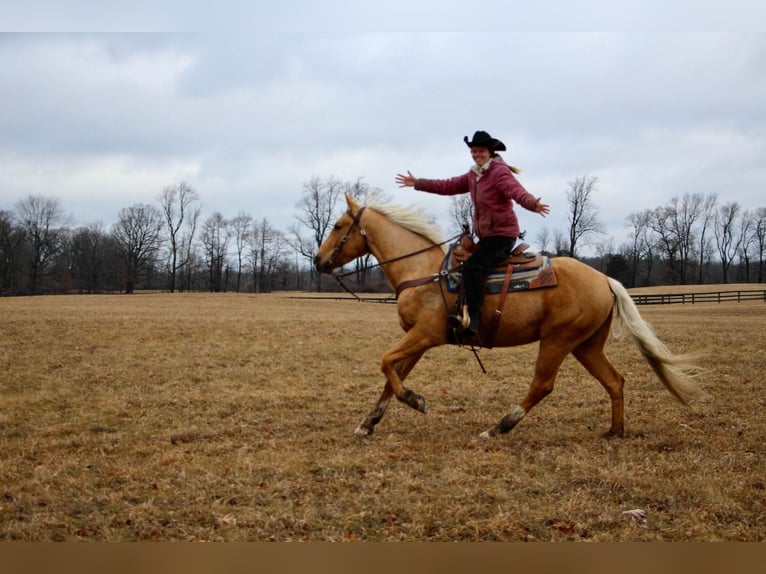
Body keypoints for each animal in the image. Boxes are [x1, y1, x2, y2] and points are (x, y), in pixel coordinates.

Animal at [314, 195, 708, 440]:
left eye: (338, 225)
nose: (318, 261)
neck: (423, 271)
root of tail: (604, 279)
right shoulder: (416, 340)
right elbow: (390, 376)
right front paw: (368, 423)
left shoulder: (425, 335)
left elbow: (385, 363)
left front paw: (416, 401)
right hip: (586, 345)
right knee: (615, 381)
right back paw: (615, 431)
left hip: (558, 341)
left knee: (542, 386)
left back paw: (498, 427)